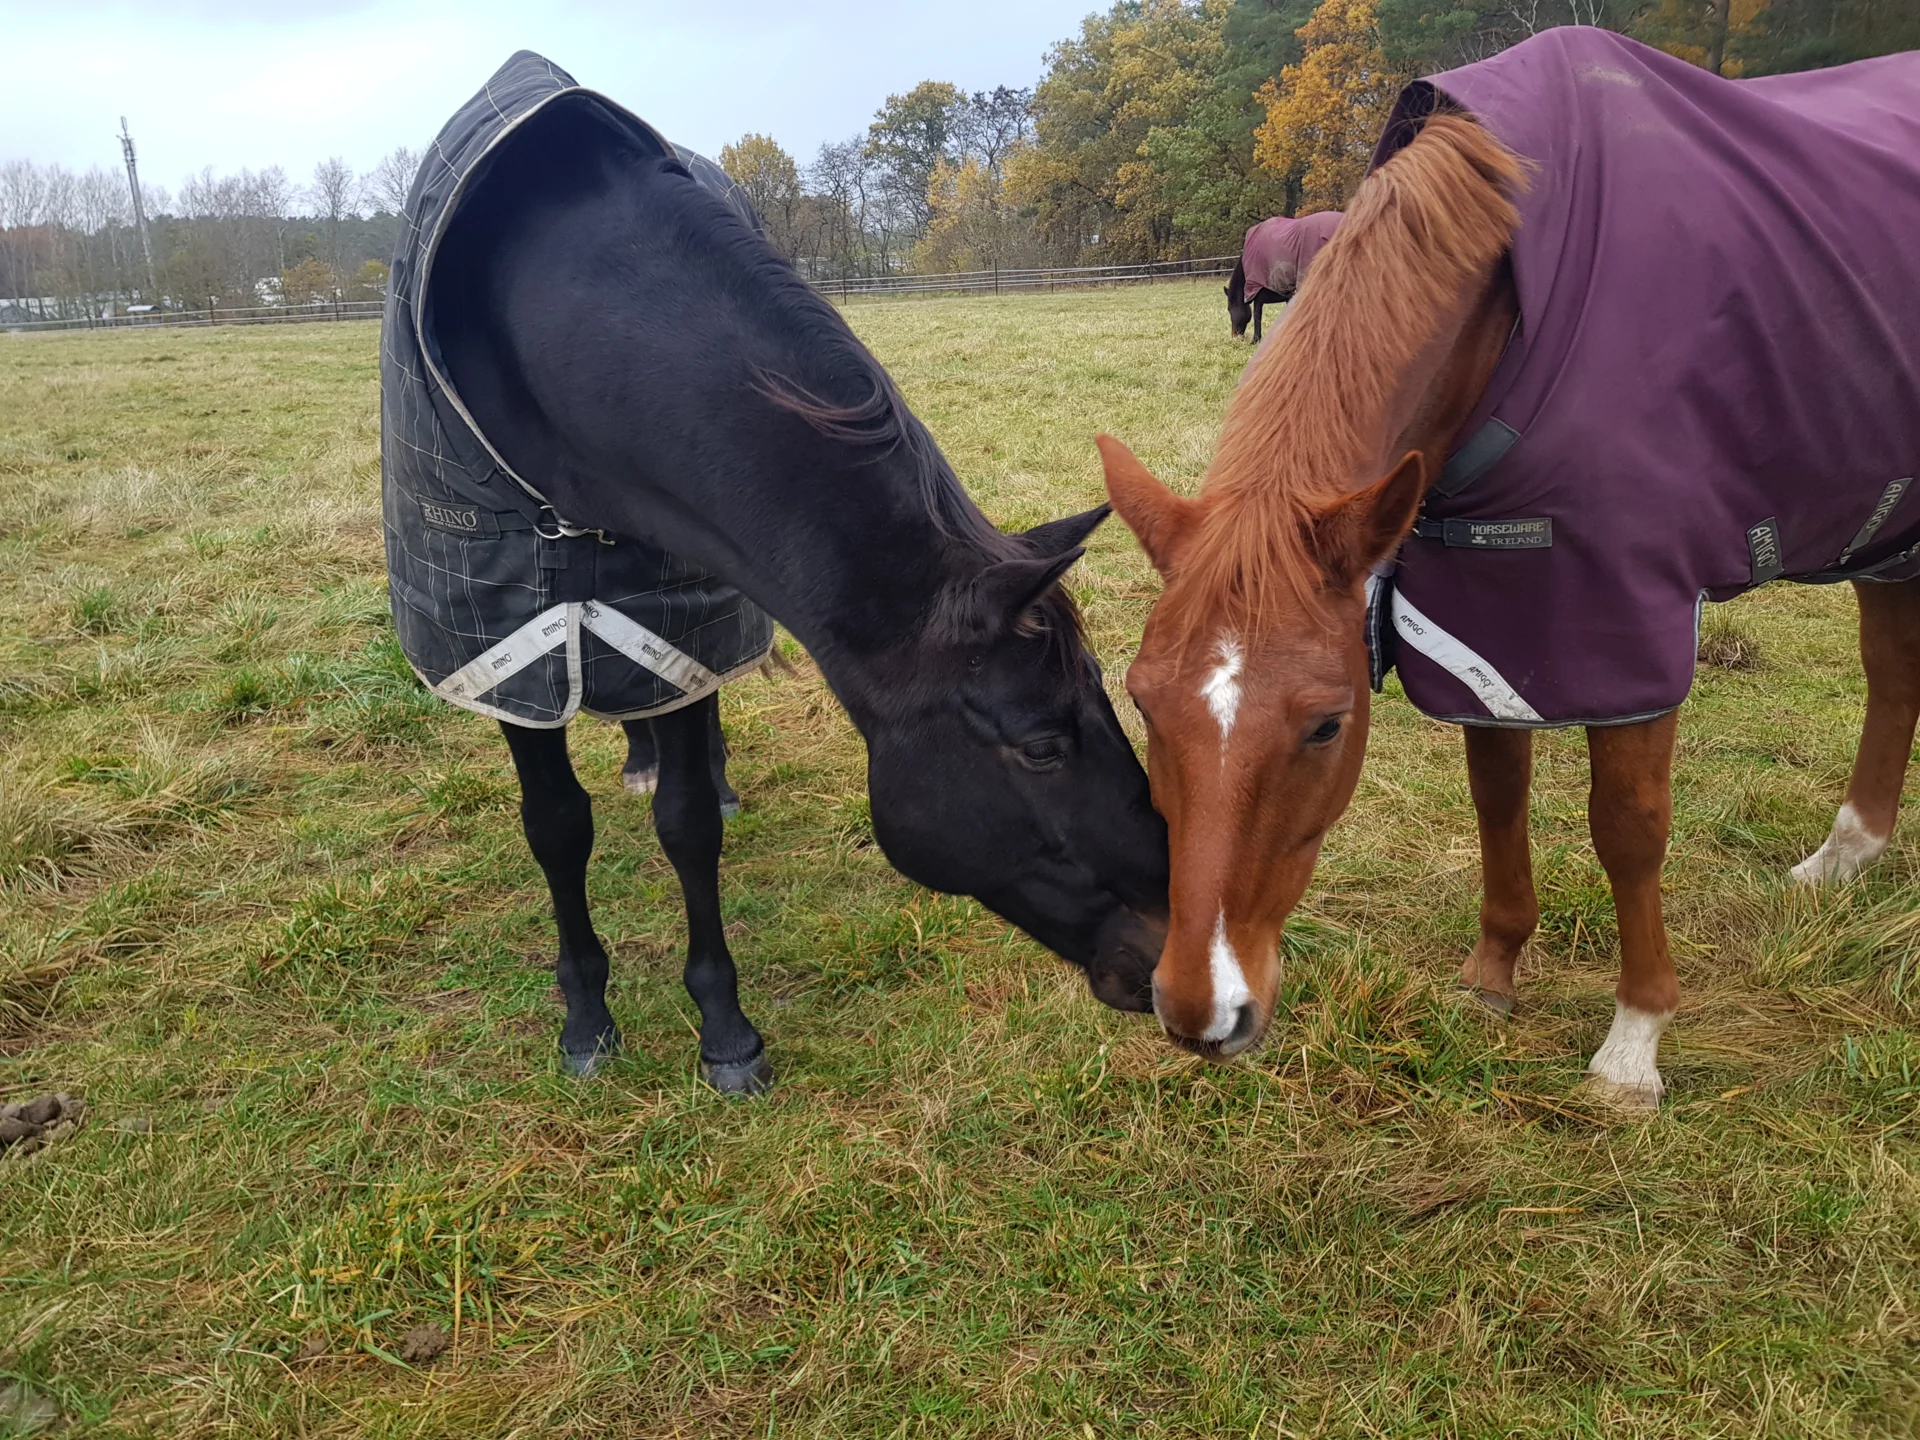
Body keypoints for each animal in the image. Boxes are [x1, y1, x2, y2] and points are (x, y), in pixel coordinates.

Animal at [385, 53, 1169, 1093]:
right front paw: (587, 1017)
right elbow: (554, 825)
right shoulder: (509, 645)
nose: (1178, 952)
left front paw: (723, 1028)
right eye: (1043, 745)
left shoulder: (673, 611)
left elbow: (687, 824)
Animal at [1225, 211, 1342, 343]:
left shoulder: (1258, 293)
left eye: (1229, 308)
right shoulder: (1288, 293)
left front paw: (1256, 340)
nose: (1234, 336)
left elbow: (1257, 315)